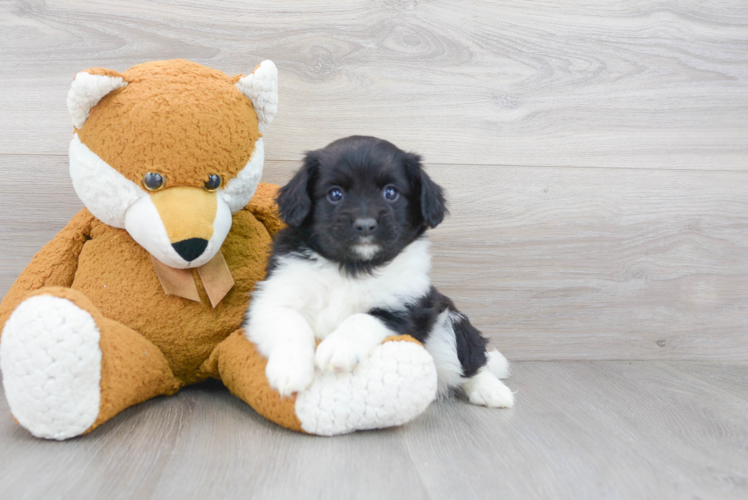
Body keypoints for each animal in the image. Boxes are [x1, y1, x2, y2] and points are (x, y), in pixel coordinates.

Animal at [245, 135, 516, 408]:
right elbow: (292, 325)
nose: (365, 225)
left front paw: (337, 347)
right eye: (335, 194)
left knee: (471, 362)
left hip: (448, 322)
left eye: (391, 192)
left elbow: (361, 319)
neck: (352, 268)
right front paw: (290, 370)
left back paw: (492, 390)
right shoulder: (273, 299)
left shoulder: (403, 310)